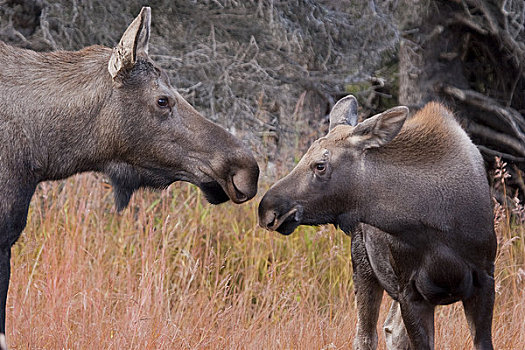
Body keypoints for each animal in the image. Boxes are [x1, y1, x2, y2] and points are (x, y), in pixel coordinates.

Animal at [260, 95, 498, 350]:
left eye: (320, 165)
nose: (267, 209)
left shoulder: (484, 279)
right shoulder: (409, 291)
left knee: (391, 329)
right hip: (363, 266)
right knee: (367, 335)